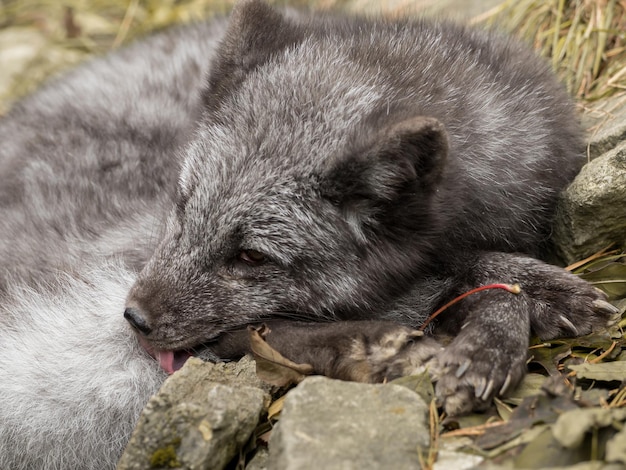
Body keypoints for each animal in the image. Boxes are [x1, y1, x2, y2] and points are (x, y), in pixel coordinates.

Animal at [0, 1, 616, 468]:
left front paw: (507, 322)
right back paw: (376, 345)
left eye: (251, 257)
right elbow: (464, 271)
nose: (136, 320)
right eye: (182, 204)